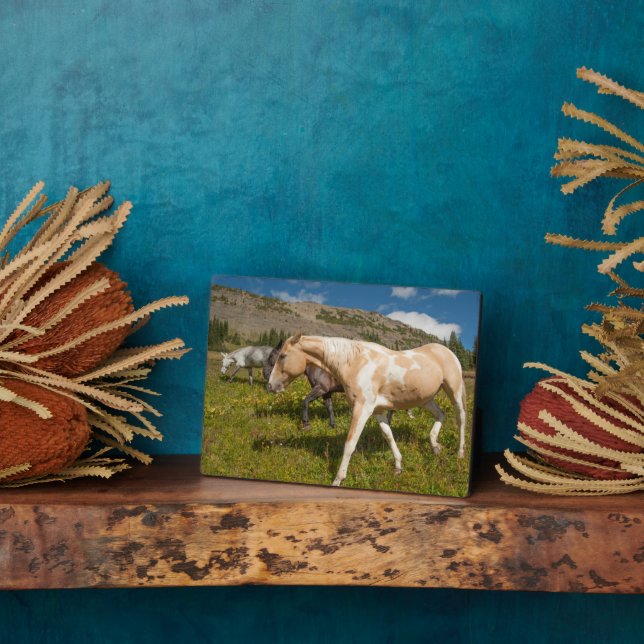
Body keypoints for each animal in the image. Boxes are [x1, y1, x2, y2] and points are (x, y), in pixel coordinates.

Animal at [267, 334, 466, 486]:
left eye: (282, 356)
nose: (270, 385)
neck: (356, 364)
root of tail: (446, 351)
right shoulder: (377, 411)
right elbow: (388, 436)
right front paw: (398, 467)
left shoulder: (361, 409)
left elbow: (350, 444)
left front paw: (338, 479)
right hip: (425, 399)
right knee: (441, 414)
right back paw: (435, 446)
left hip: (454, 392)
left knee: (460, 418)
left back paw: (460, 453)